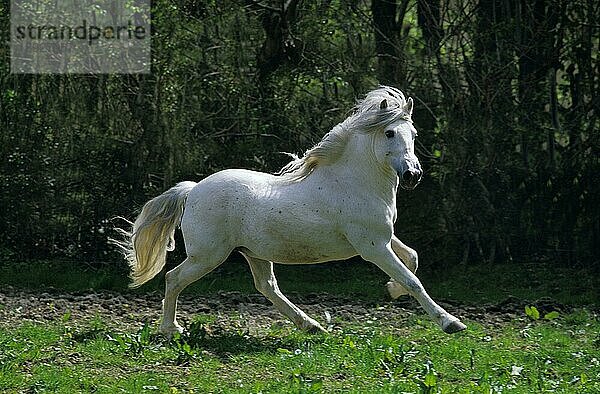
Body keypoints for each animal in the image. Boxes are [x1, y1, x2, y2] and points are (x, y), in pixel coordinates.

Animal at [113, 87, 468, 338]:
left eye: (415, 134)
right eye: (390, 133)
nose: (412, 175)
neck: (354, 181)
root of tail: (193, 189)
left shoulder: (382, 237)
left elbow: (413, 260)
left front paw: (391, 290)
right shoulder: (372, 246)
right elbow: (413, 280)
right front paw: (451, 323)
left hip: (254, 252)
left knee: (267, 287)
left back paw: (312, 326)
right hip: (208, 255)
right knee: (173, 278)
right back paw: (171, 330)